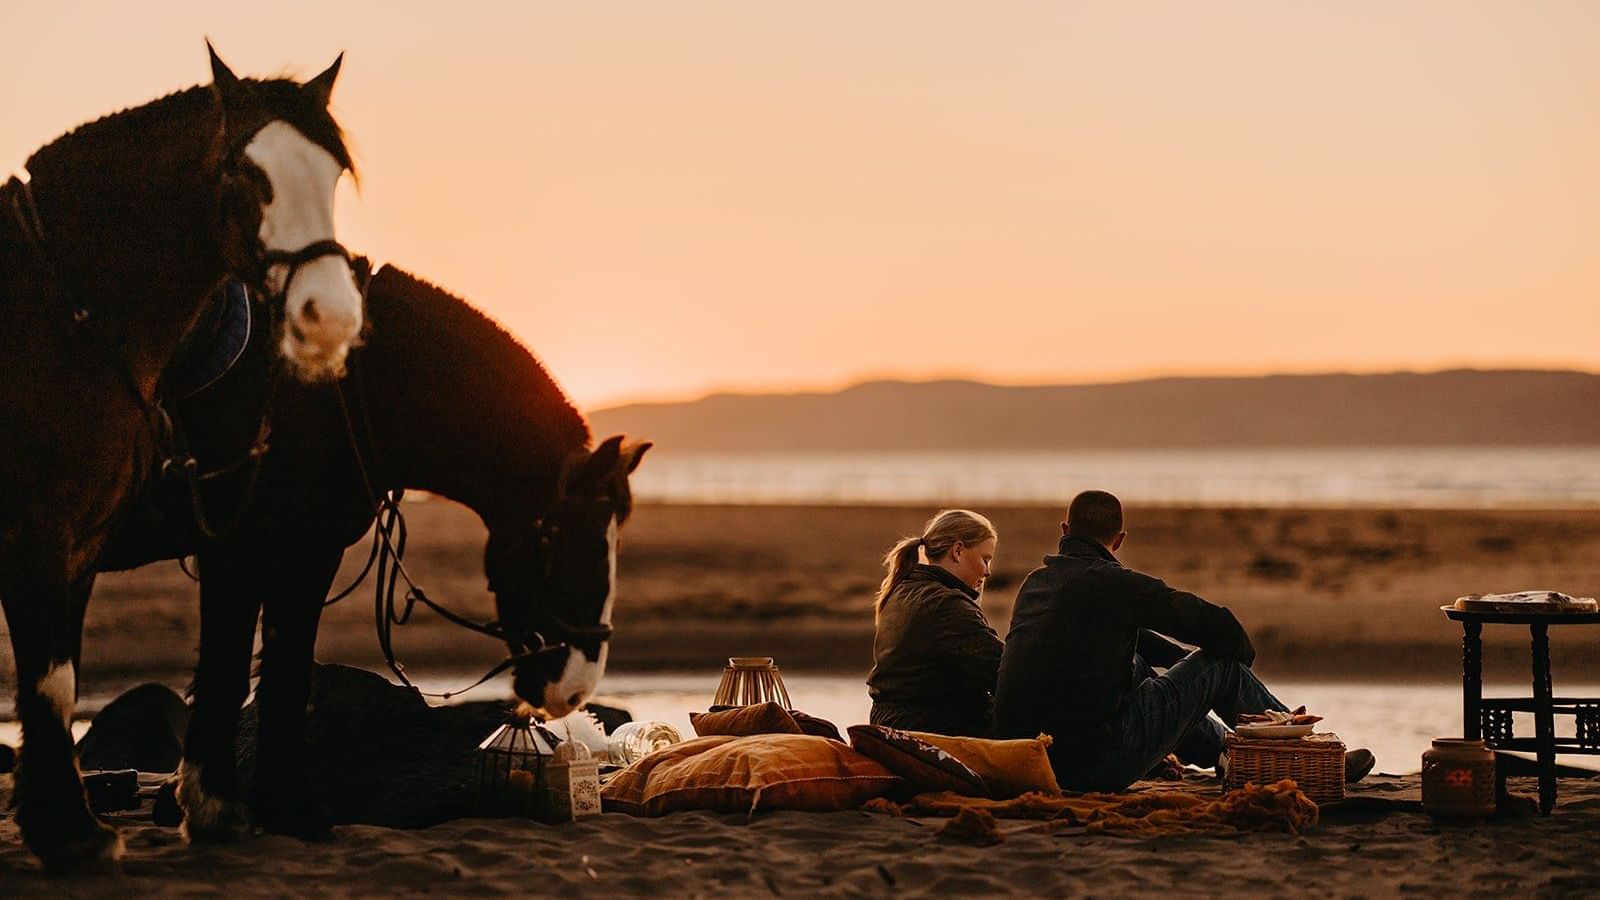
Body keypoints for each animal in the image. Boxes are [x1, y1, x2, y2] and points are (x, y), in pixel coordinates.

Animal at [0, 45, 365, 869]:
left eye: (333, 175)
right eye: (245, 176)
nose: (330, 317)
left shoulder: (89, 539)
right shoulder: (39, 529)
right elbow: (55, 680)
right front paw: (69, 830)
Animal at [94, 263, 650, 842]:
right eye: (555, 538)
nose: (575, 690)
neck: (324, 389)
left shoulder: (305, 551)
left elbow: (286, 673)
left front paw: (285, 808)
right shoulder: (242, 549)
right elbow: (230, 672)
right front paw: (219, 809)